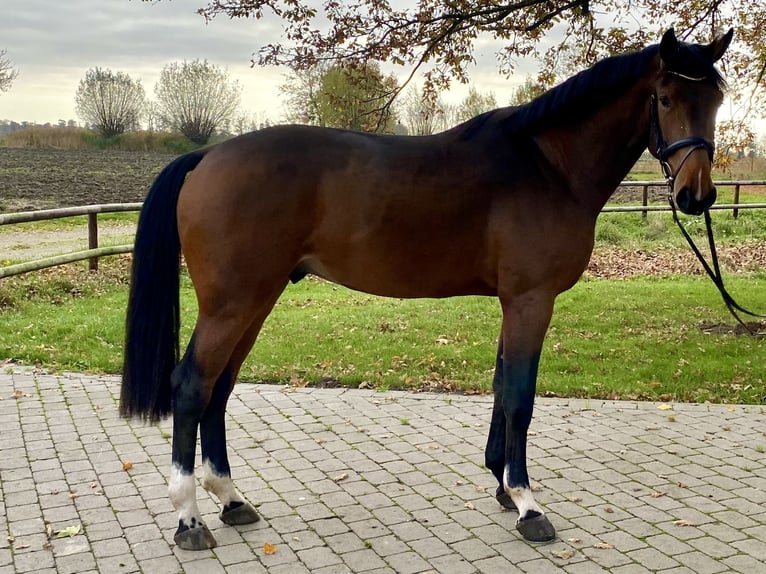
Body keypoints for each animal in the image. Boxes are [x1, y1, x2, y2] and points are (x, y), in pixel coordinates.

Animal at [121, 29, 736, 552]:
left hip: (256, 301)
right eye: (664, 97)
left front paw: (501, 486)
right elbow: (520, 397)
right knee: (191, 386)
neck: (547, 166)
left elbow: (500, 387)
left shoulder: (515, 301)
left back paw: (231, 500)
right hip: (232, 304)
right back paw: (189, 520)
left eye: (717, 98)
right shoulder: (530, 299)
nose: (696, 195)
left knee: (218, 390)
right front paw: (528, 505)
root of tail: (207, 155)